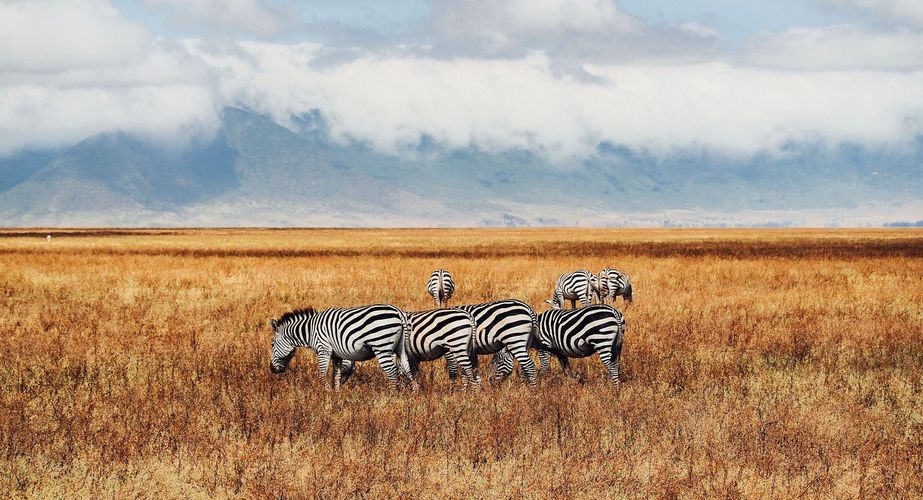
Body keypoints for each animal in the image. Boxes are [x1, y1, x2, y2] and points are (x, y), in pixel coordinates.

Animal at [269, 304, 407, 390]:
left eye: (272, 344)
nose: (271, 369)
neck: (310, 330)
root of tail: (399, 312)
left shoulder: (323, 350)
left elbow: (322, 375)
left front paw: (327, 396)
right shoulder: (337, 355)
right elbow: (336, 376)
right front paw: (336, 396)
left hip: (382, 347)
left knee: (392, 373)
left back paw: (390, 399)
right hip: (400, 348)